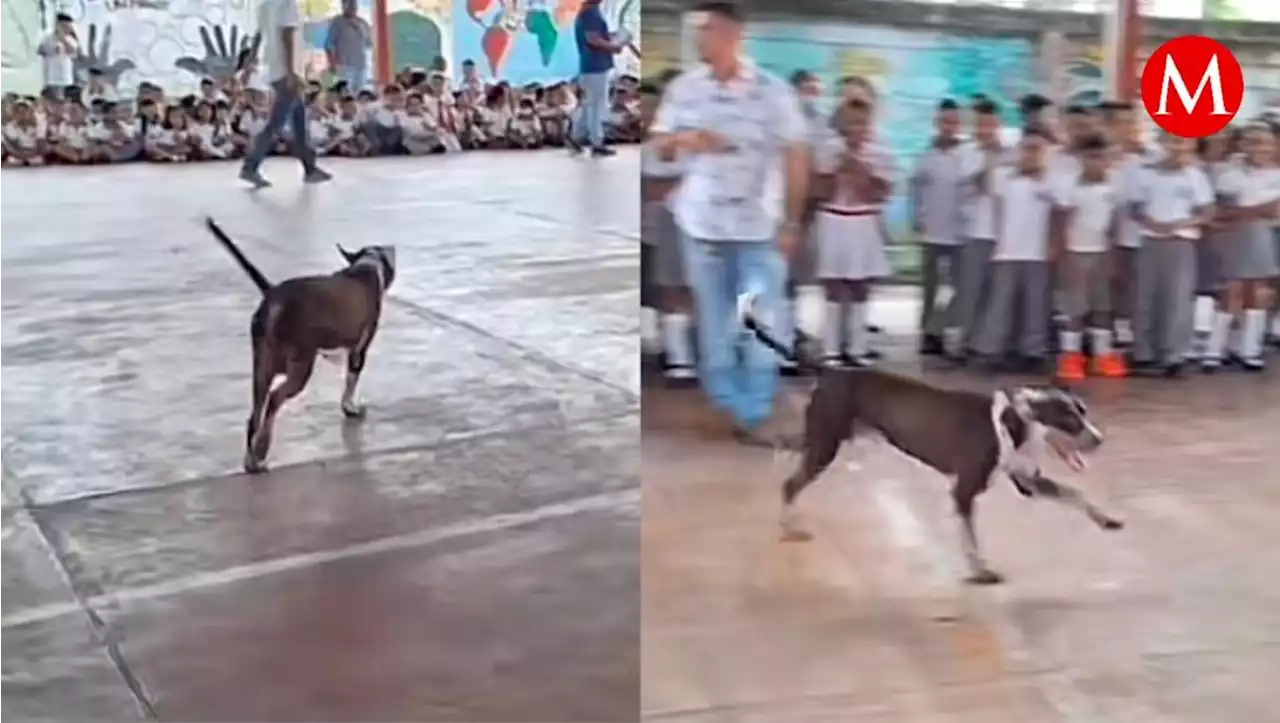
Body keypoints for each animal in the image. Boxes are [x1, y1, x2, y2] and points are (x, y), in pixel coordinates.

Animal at [203, 213, 394, 473]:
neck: (367, 266)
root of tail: (273, 294)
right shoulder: (359, 347)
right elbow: (351, 380)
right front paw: (350, 408)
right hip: (299, 367)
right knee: (275, 400)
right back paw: (261, 449)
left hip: (262, 367)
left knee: (255, 414)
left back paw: (252, 459)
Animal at [737, 291, 1126, 580]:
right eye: (1069, 420)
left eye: (1083, 413)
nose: (1099, 439)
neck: (1015, 423)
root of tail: (830, 370)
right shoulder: (964, 490)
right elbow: (971, 538)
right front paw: (980, 570)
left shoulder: (1028, 481)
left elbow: (1075, 494)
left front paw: (1105, 519)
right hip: (825, 444)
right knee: (791, 484)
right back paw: (789, 526)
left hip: (821, 439)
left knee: (789, 459)